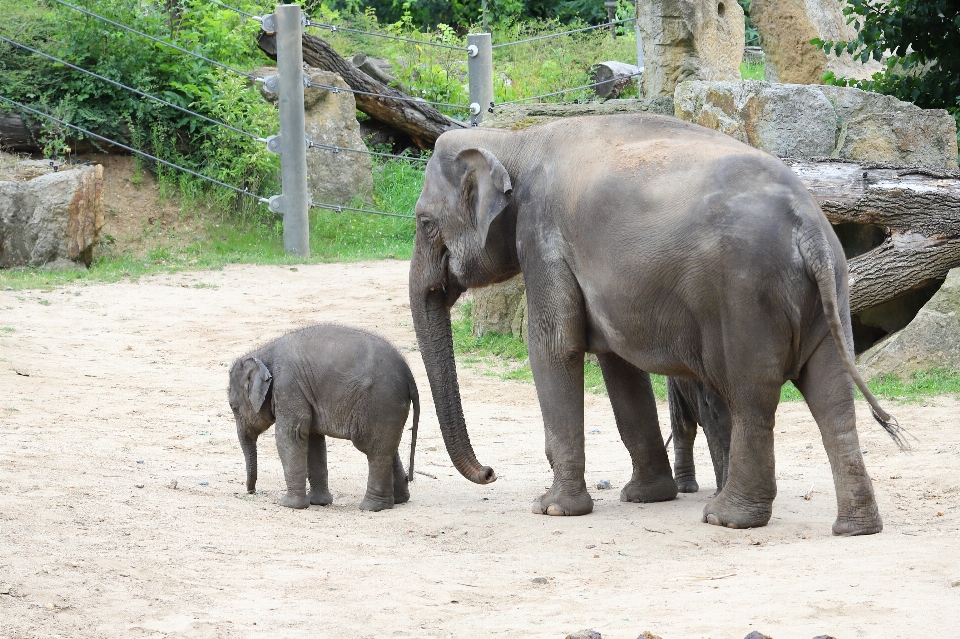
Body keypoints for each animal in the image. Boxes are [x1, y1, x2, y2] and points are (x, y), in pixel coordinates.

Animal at [231, 324, 418, 510]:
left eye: (234, 408)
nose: (251, 491)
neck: (263, 353)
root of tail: (409, 376)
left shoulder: (288, 386)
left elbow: (292, 434)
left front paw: (289, 505)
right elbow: (313, 439)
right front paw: (318, 502)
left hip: (379, 401)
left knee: (374, 449)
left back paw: (371, 506)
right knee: (389, 447)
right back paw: (398, 500)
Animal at [406, 114, 908, 536]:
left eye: (425, 222)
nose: (490, 473)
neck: (513, 141)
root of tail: (808, 224)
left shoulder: (542, 238)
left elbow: (554, 347)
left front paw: (552, 508)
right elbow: (617, 364)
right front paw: (646, 497)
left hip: (746, 297)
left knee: (752, 396)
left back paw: (728, 518)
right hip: (829, 295)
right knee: (832, 397)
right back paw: (856, 528)